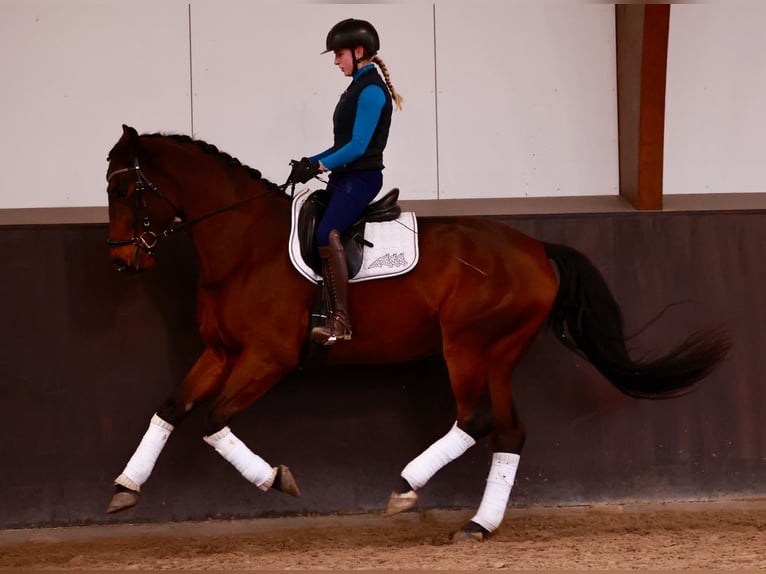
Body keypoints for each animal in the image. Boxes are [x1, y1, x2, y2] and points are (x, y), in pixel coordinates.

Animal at [103, 125, 732, 544]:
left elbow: (214, 419)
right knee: (509, 431)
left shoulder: (267, 356)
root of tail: (537, 249)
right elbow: (171, 407)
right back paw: (479, 525)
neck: (243, 245)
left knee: (475, 420)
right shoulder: (220, 351)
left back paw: (406, 487)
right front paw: (125, 487)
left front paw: (276, 479)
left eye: (123, 189)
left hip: (467, 345)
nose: (121, 262)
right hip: (499, 354)